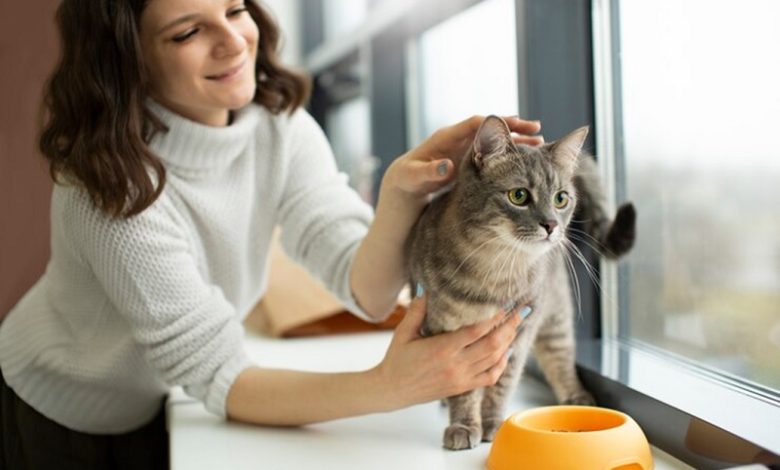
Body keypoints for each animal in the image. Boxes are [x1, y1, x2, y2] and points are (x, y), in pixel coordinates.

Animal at [406, 115, 636, 450]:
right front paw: (464, 424)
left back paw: (577, 398)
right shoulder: (449, 339)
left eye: (561, 198)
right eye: (519, 195)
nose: (551, 225)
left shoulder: (521, 333)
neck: (495, 273)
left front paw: (492, 424)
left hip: (555, 317)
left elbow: (501, 385)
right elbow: (465, 390)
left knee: (560, 360)